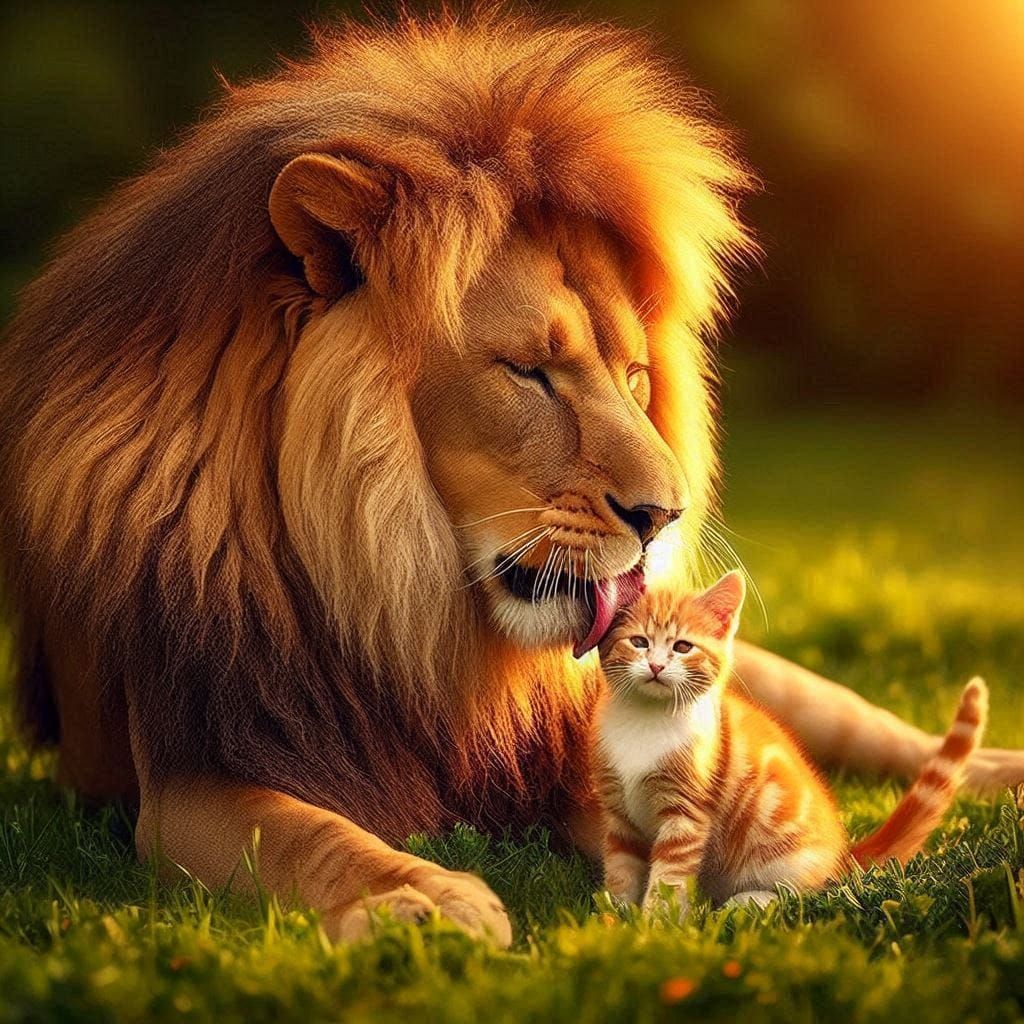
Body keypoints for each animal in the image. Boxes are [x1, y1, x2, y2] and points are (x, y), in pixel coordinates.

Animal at [1, 10, 1020, 945]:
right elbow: (302, 834)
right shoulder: (192, 770)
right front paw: (417, 899)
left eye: (636, 376)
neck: (414, 616)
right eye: (531, 372)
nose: (665, 517)